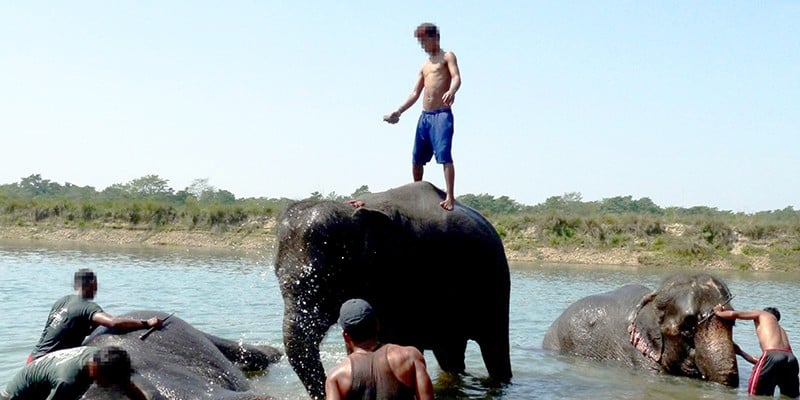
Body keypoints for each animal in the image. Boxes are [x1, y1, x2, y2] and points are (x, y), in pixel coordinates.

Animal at [274, 181, 512, 399]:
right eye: (277, 275)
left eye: (326, 280)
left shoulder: (405, 274)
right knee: (450, 352)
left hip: (496, 285)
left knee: (494, 348)